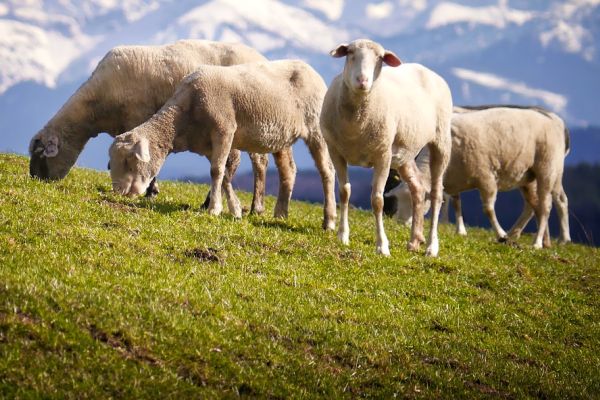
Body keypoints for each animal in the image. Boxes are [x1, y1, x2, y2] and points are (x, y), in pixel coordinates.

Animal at [28, 38, 296, 216]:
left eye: (41, 155)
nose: (35, 181)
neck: (95, 106)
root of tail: (263, 58)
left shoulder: (138, 116)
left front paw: (151, 190)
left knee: (259, 164)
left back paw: (256, 207)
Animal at [105, 59, 336, 228]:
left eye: (129, 161)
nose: (119, 192)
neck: (183, 118)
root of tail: (310, 69)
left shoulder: (224, 130)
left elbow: (216, 171)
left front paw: (214, 209)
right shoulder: (209, 143)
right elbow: (223, 173)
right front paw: (235, 210)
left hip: (316, 128)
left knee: (327, 171)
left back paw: (329, 221)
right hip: (282, 135)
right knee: (288, 170)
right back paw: (280, 213)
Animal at [322, 38, 452, 256]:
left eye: (380, 58)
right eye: (350, 53)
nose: (362, 80)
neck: (355, 124)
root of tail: (426, 69)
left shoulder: (382, 155)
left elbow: (377, 200)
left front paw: (382, 246)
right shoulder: (335, 151)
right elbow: (344, 192)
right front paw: (342, 236)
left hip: (441, 142)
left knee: (436, 194)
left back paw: (431, 247)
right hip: (404, 154)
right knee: (417, 189)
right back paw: (414, 241)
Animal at [386, 104, 568, 248]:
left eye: (415, 201)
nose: (401, 223)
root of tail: (552, 119)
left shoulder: (486, 177)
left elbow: (488, 209)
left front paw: (500, 234)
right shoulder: (452, 180)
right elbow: (456, 204)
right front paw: (461, 230)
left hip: (547, 169)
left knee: (548, 205)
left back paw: (540, 242)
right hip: (527, 176)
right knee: (533, 205)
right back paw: (530, 238)